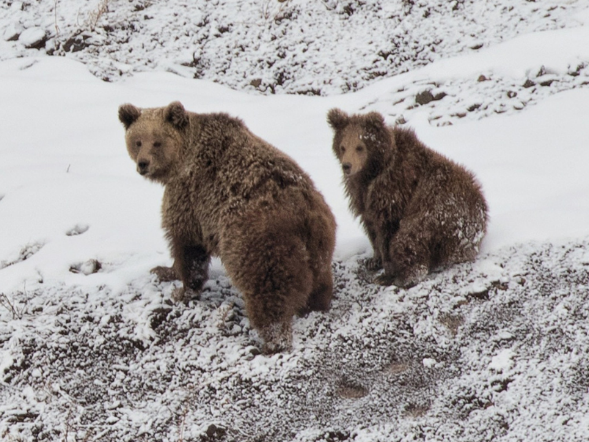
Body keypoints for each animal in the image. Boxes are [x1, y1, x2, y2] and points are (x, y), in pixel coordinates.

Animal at [118, 101, 336, 352]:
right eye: (137, 141)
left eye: (157, 141)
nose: (143, 163)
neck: (183, 159)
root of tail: (302, 210)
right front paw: (163, 270)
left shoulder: (190, 197)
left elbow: (187, 245)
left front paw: (180, 289)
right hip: (319, 239)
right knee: (319, 278)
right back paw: (314, 305)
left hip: (258, 239)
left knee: (269, 291)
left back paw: (272, 341)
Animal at [326, 107, 486, 286]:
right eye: (342, 146)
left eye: (360, 146)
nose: (347, 166)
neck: (372, 172)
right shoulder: (362, 196)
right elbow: (371, 226)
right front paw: (373, 260)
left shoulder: (394, 189)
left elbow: (387, 229)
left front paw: (386, 270)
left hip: (438, 213)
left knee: (409, 237)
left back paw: (404, 276)